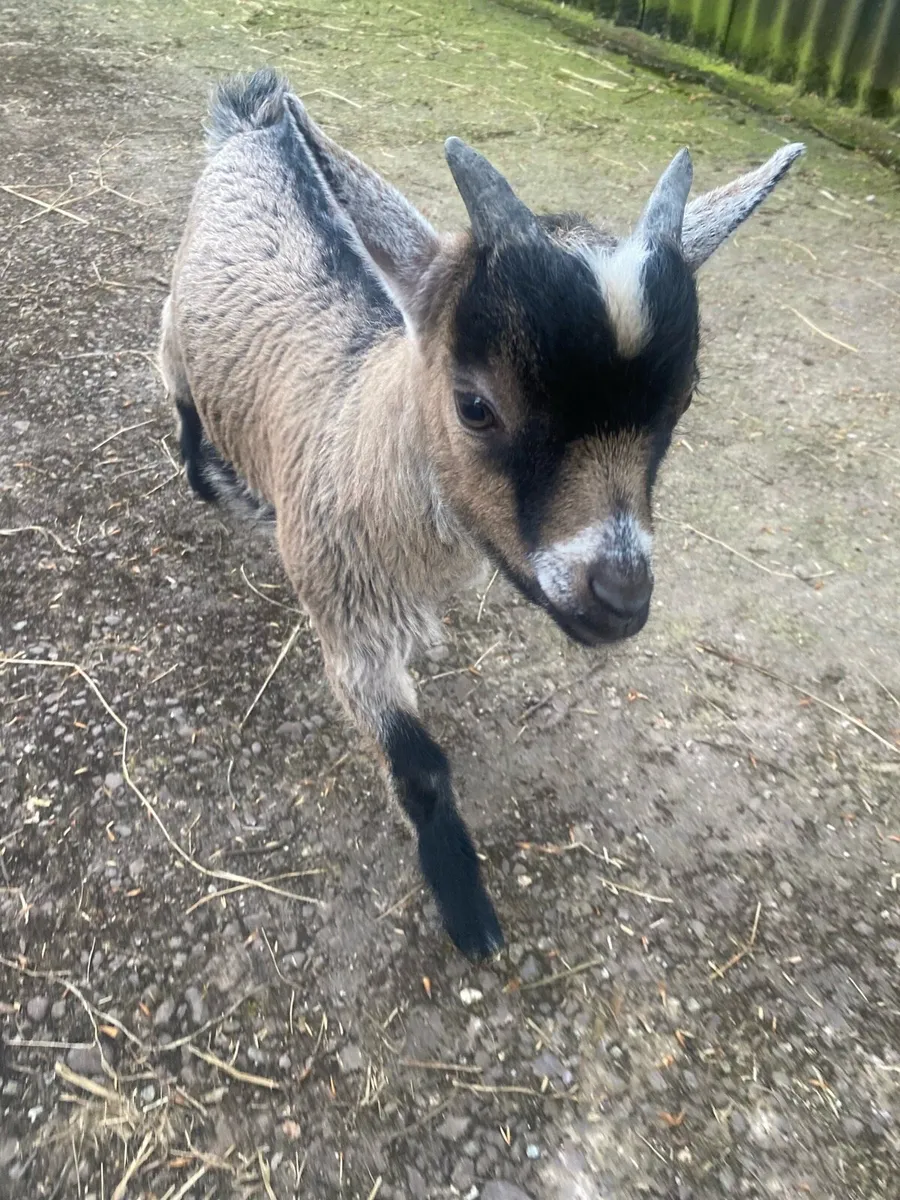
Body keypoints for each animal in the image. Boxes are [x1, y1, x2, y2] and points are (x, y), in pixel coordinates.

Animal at [160, 68, 804, 959]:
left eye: (683, 400)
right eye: (475, 406)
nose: (621, 597)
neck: (365, 432)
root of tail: (254, 124)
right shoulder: (344, 609)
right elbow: (422, 765)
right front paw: (468, 910)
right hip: (177, 326)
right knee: (178, 391)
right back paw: (212, 477)